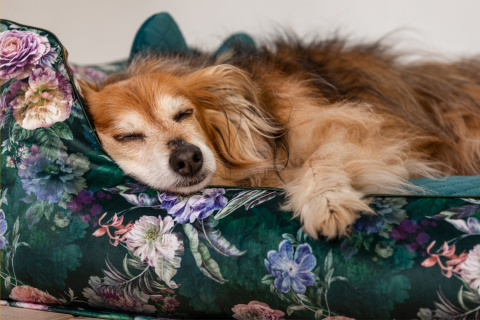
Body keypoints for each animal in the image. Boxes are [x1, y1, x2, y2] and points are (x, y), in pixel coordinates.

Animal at [80, 37, 480, 238]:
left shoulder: (362, 126)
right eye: (127, 136)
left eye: (184, 114)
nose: (188, 157)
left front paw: (326, 203)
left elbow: (319, 159)